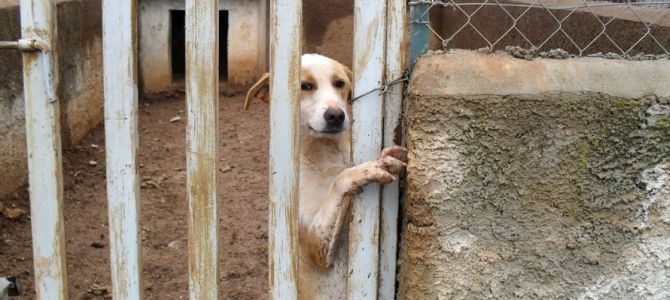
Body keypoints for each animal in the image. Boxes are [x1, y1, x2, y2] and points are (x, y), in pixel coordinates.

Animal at [245, 53, 406, 298]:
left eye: (339, 83)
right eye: (305, 86)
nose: (336, 115)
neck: (323, 154)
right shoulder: (316, 245)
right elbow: (340, 181)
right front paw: (368, 168)